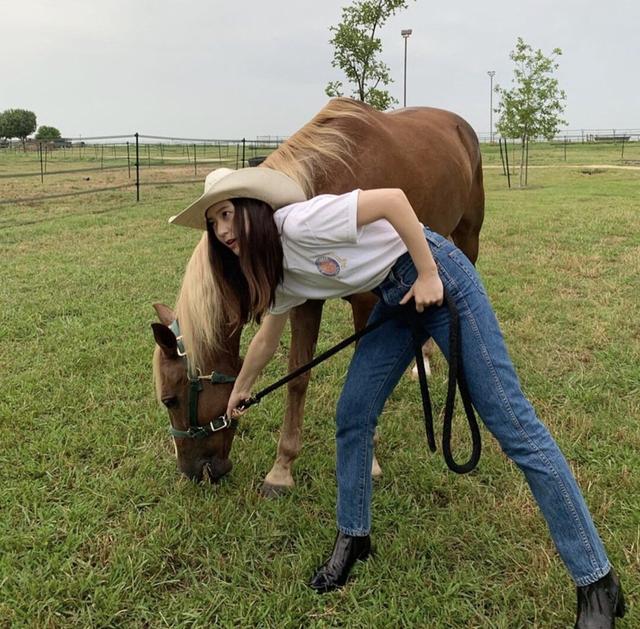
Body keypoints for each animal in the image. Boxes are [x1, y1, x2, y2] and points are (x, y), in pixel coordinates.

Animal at [152, 99, 482, 490]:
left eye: (170, 399)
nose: (192, 473)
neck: (322, 182)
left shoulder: (366, 301)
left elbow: (363, 383)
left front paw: (370, 461)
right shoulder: (304, 302)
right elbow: (297, 377)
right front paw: (282, 469)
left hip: (467, 236)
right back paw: (423, 361)